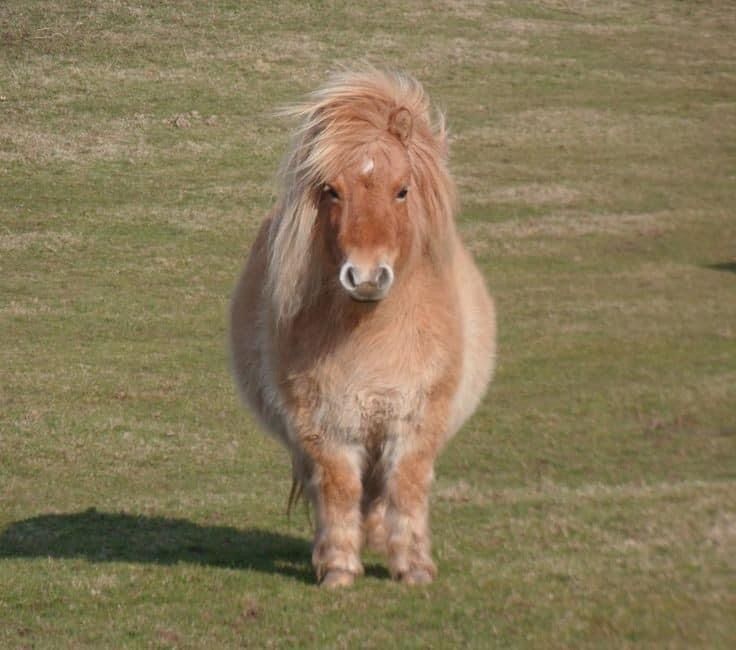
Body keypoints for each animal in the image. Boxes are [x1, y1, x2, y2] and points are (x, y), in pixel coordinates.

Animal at [229, 68, 494, 584]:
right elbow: (338, 488)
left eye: (402, 190)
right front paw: (337, 568)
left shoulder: (415, 420)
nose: (366, 277)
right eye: (331, 190)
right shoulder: (325, 425)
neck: (372, 335)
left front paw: (414, 568)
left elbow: (406, 487)